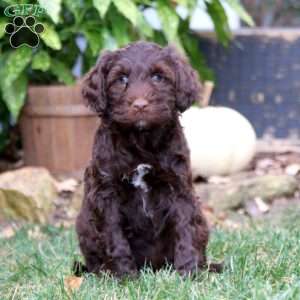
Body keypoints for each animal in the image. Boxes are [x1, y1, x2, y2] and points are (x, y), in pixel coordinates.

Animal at [75, 41, 220, 278]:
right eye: (121, 79)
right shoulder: (107, 192)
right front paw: (125, 275)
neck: (141, 140)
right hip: (84, 227)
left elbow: (185, 228)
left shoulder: (179, 186)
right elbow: (114, 235)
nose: (140, 105)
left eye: (158, 77)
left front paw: (188, 272)